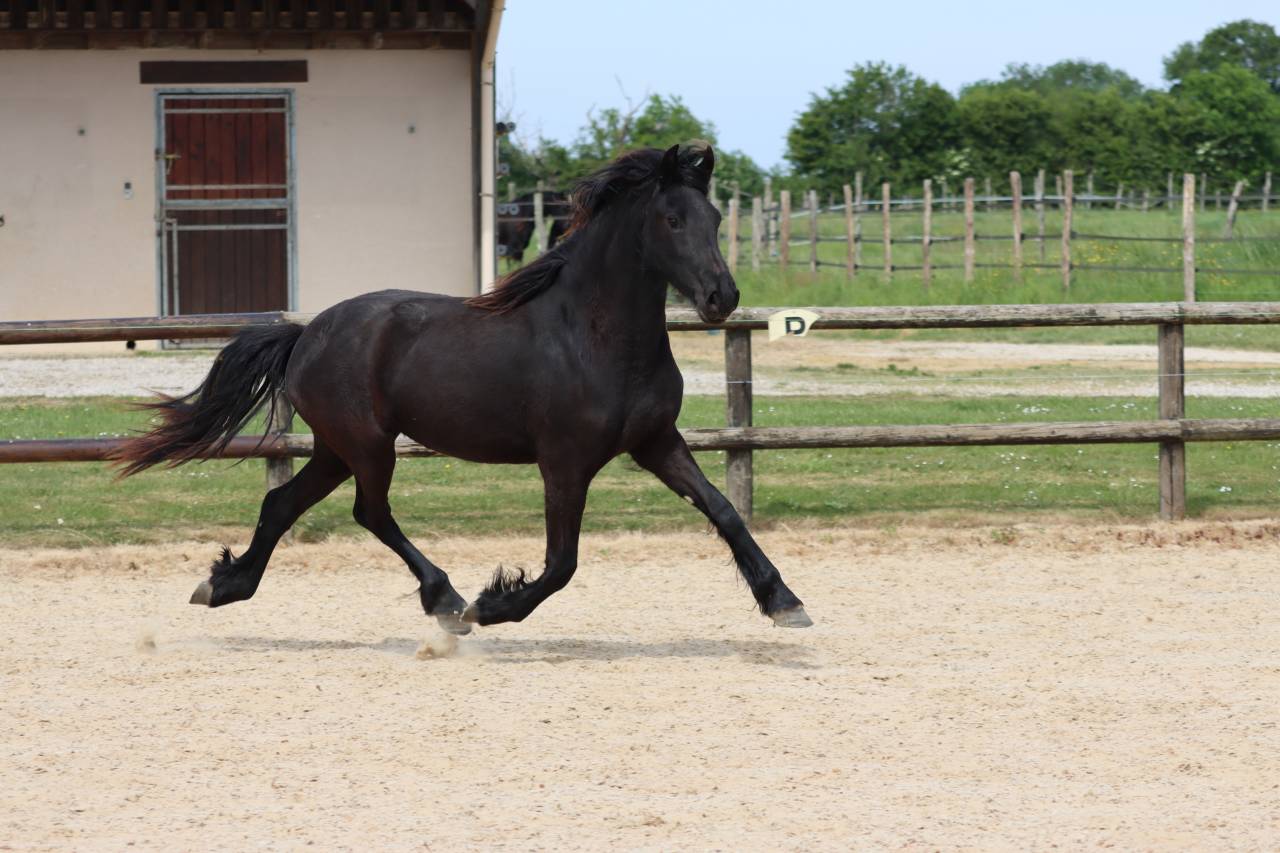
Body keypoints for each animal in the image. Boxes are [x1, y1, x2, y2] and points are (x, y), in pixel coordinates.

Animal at [114, 142, 812, 635]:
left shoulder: (657, 442)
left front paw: (785, 601)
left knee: (283, 503)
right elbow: (562, 562)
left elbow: (723, 511)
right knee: (369, 512)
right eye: (670, 219)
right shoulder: (565, 462)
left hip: (338, 448)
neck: (593, 337)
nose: (723, 298)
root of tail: (307, 333)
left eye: (715, 217)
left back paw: (225, 586)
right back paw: (447, 599)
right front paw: (493, 605)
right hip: (369, 445)